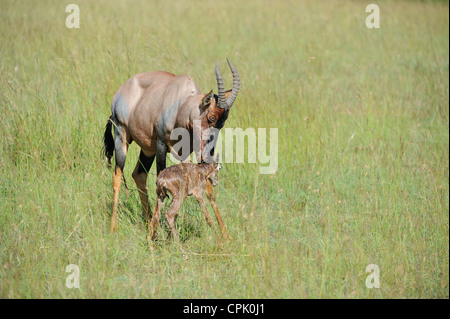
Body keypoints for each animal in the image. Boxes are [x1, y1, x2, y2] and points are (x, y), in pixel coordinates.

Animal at [104, 58, 241, 236]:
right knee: (117, 175)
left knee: (139, 175)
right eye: (211, 117)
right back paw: (114, 227)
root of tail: (122, 90)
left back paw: (148, 220)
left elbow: (208, 190)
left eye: (222, 122)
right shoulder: (162, 145)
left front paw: (225, 235)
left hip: (148, 149)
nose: (208, 155)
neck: (181, 102)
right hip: (121, 136)